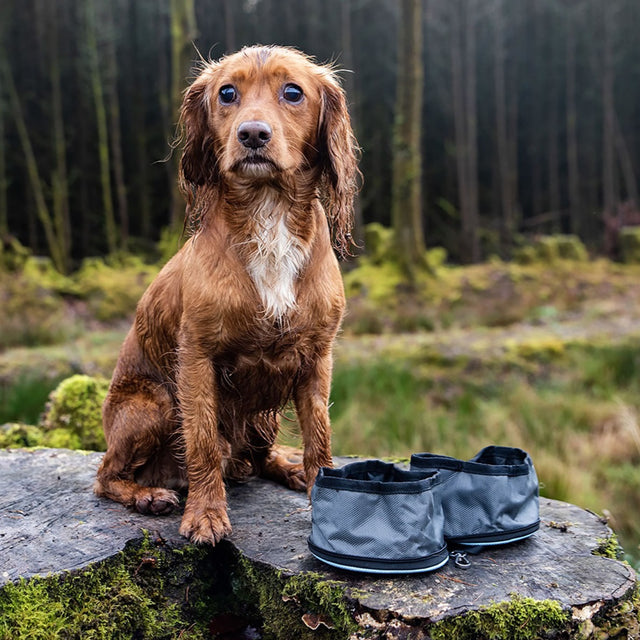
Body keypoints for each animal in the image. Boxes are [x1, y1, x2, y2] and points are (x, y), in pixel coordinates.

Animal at [94, 46, 360, 544]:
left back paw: (287, 468)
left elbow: (319, 437)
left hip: (264, 414)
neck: (268, 213)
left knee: (258, 458)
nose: (252, 134)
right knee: (105, 476)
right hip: (153, 404)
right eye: (227, 93)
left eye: (293, 92)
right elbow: (201, 441)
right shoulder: (197, 357)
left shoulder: (317, 358)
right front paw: (205, 514)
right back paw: (147, 495)